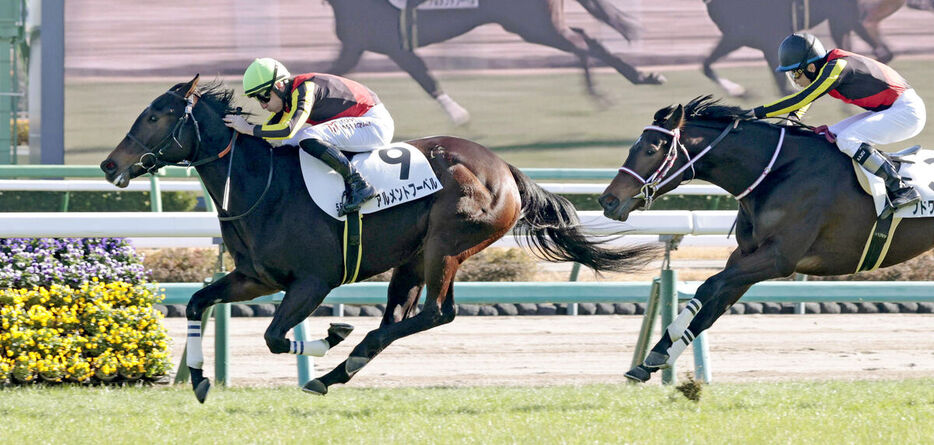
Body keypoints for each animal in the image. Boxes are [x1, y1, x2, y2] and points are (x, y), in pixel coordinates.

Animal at [100, 74, 660, 400]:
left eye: (155, 115)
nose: (109, 165)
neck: (262, 185)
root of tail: (505, 167)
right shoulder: (256, 277)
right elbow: (198, 303)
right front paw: (197, 378)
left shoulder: (312, 282)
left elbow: (276, 336)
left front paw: (330, 335)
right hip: (413, 258)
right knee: (400, 318)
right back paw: (337, 372)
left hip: (447, 246)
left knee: (435, 313)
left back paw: (338, 361)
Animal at [326, 0, 668, 125]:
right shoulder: (358, 47)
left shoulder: (391, 47)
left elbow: (425, 78)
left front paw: (459, 116)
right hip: (538, 26)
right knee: (585, 40)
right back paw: (626, 83)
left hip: (535, 25)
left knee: (583, 44)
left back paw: (624, 84)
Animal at [600, 97, 934, 382]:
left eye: (651, 150)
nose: (608, 200)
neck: (777, 172)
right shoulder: (745, 256)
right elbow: (712, 306)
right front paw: (651, 360)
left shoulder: (779, 258)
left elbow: (710, 286)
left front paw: (663, 348)